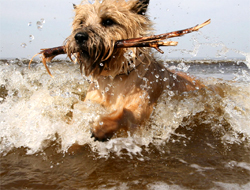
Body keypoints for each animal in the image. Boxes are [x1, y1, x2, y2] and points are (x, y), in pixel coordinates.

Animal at [63, 0, 204, 141]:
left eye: (108, 21)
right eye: (81, 22)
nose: (79, 36)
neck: (114, 78)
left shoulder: (143, 108)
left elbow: (126, 114)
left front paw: (102, 127)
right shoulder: (90, 101)